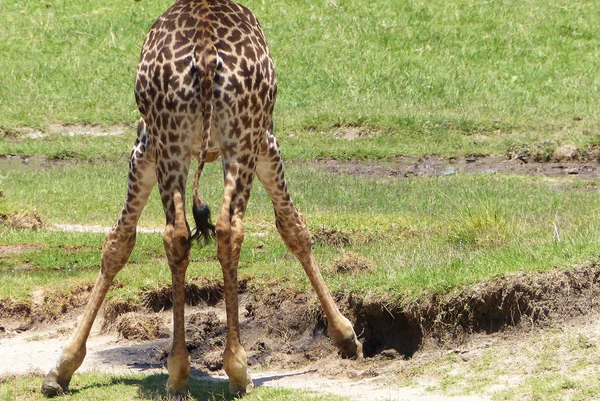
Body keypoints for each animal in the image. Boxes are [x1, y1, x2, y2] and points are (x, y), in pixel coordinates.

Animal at [41, 0, 360, 396]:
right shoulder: (264, 141)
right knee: (226, 229)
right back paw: (235, 369)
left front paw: (61, 368)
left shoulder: (148, 146)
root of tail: (206, 52)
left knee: (179, 234)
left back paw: (181, 372)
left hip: (179, 139)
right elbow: (294, 227)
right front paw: (345, 335)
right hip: (233, 137)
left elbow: (118, 243)